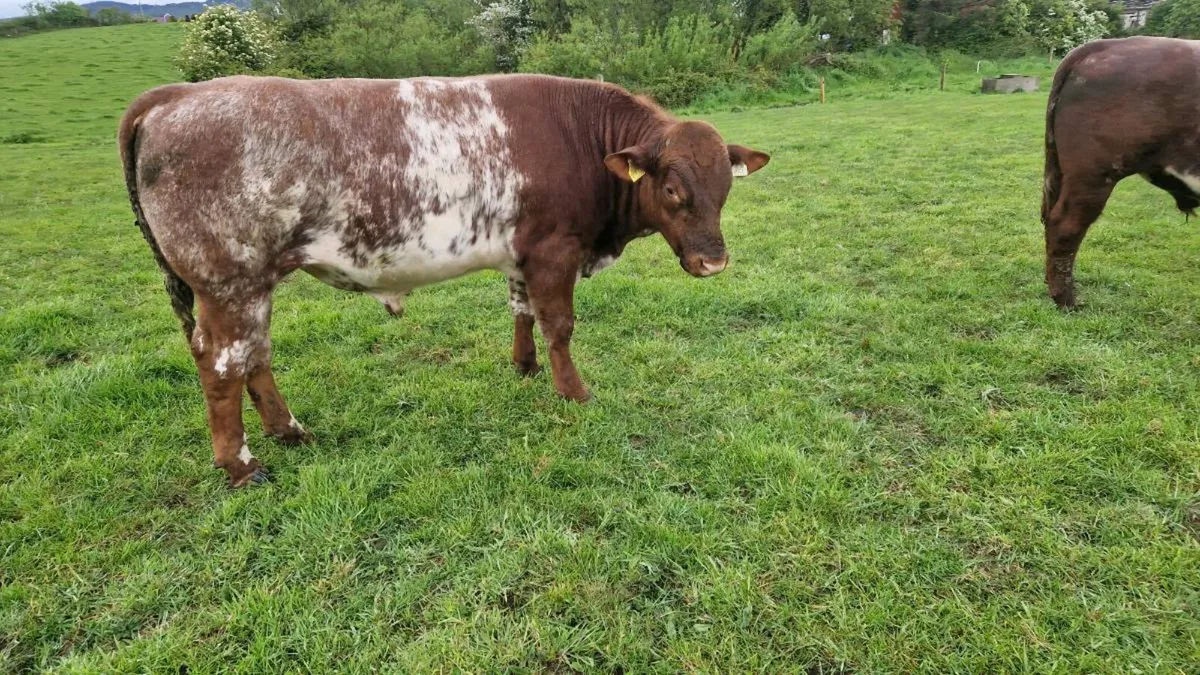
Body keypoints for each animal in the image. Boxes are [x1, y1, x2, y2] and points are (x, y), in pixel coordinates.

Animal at [119, 74, 770, 487]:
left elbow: (522, 310)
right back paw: (242, 466)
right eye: (672, 189)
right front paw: (574, 392)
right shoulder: (554, 249)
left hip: (251, 286)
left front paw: (525, 367)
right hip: (229, 280)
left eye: (725, 187)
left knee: (255, 355)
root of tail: (178, 94)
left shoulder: (521, 254)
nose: (713, 262)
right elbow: (559, 323)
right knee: (222, 363)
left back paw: (290, 431)